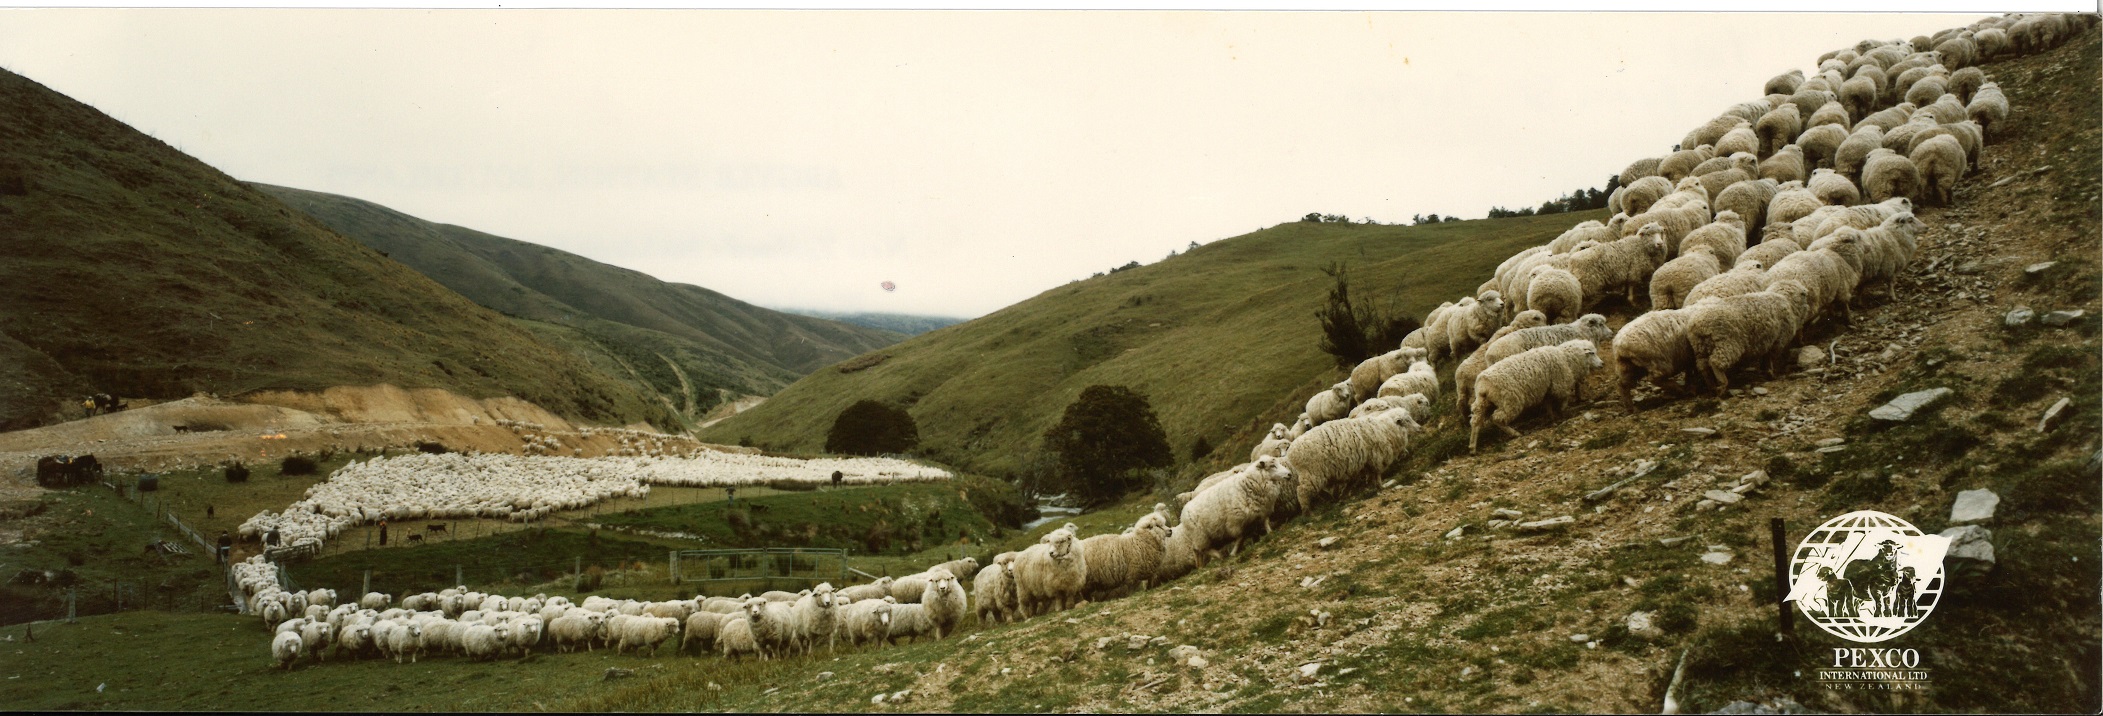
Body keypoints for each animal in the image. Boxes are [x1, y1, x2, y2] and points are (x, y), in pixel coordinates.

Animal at [1682, 280, 1816, 393]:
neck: (1786, 301)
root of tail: (1698, 323)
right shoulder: (1778, 340)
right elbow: (1770, 357)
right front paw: (1770, 373)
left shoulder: (1769, 341)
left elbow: (1765, 357)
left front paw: (1764, 370)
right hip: (1728, 344)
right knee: (1715, 362)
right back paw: (1723, 384)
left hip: (1700, 347)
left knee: (1703, 366)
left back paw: (1712, 386)